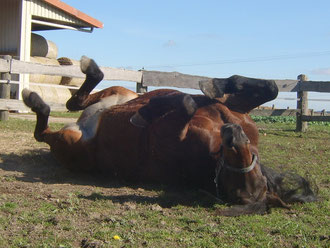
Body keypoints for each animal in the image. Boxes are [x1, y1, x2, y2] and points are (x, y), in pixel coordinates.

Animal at [21, 56, 316, 215]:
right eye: (250, 157)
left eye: (244, 190)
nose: (234, 135)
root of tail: (81, 127)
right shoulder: (240, 115)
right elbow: (269, 88)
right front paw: (215, 85)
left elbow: (185, 103)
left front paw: (146, 112)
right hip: (118, 92)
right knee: (77, 101)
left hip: (69, 143)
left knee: (46, 129)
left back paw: (36, 101)